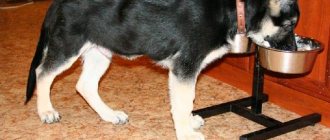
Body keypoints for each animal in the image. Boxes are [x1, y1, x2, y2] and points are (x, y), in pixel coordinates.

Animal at [25, 0, 300, 139]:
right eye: (290, 25)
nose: (294, 48)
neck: (236, 9)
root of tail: (58, 4)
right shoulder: (184, 67)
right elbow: (182, 103)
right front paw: (186, 132)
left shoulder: (186, 70)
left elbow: (186, 102)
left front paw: (189, 123)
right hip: (68, 46)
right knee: (43, 73)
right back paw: (46, 111)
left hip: (100, 51)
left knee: (85, 85)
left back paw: (110, 115)